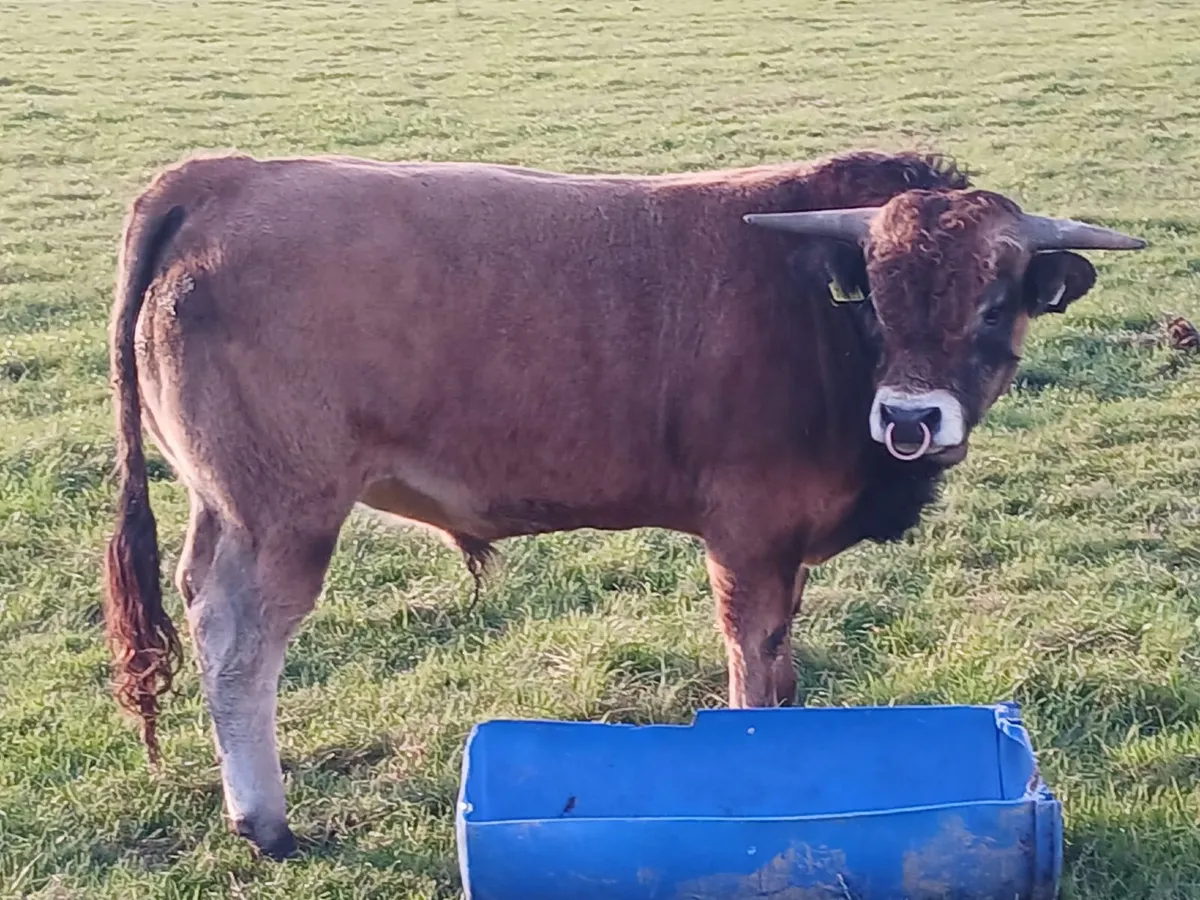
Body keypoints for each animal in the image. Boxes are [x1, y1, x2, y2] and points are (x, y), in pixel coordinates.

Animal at [103, 149, 1143, 858]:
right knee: (239, 642)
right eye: (881, 299)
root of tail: (223, 176)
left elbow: (786, 670)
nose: (910, 417)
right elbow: (754, 667)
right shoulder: (747, 537)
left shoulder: (787, 549)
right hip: (284, 515)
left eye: (993, 302)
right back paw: (265, 822)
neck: (817, 324)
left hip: (223, 509)